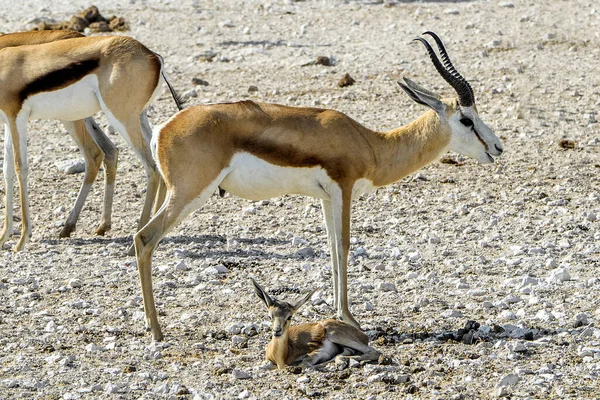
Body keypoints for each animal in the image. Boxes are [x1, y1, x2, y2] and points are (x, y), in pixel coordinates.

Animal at [135, 32, 502, 342]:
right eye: (466, 119)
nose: (497, 147)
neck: (370, 144)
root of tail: (164, 128)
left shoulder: (326, 198)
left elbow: (330, 247)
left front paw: (339, 315)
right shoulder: (344, 189)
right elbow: (344, 245)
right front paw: (350, 317)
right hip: (190, 194)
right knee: (144, 238)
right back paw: (156, 330)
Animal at [252, 278, 382, 368]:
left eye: (289, 317)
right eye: (270, 316)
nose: (277, 331)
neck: (281, 357)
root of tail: (363, 334)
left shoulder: (318, 353)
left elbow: (305, 363)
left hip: (336, 335)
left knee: (374, 352)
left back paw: (341, 361)